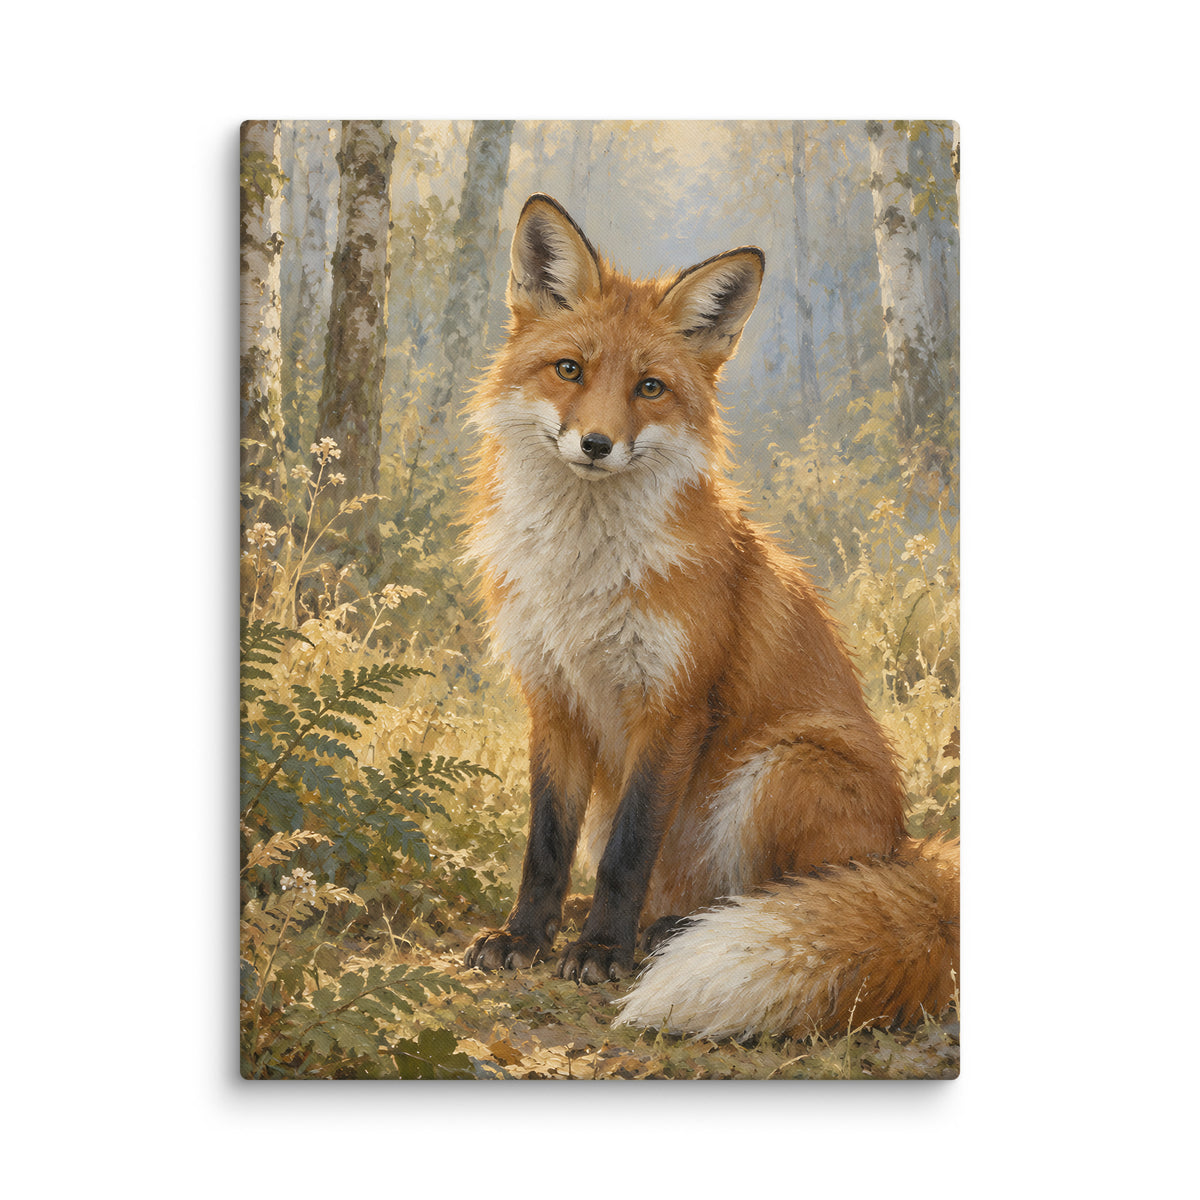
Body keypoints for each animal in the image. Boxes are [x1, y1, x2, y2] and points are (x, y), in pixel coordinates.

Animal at [461, 193, 959, 1041]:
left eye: (650, 387)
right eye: (570, 370)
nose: (595, 443)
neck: (582, 576)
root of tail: (905, 849)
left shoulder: (674, 704)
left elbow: (627, 852)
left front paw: (599, 951)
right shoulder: (551, 697)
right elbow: (546, 846)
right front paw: (526, 938)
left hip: (780, 767)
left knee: (781, 895)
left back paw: (671, 934)